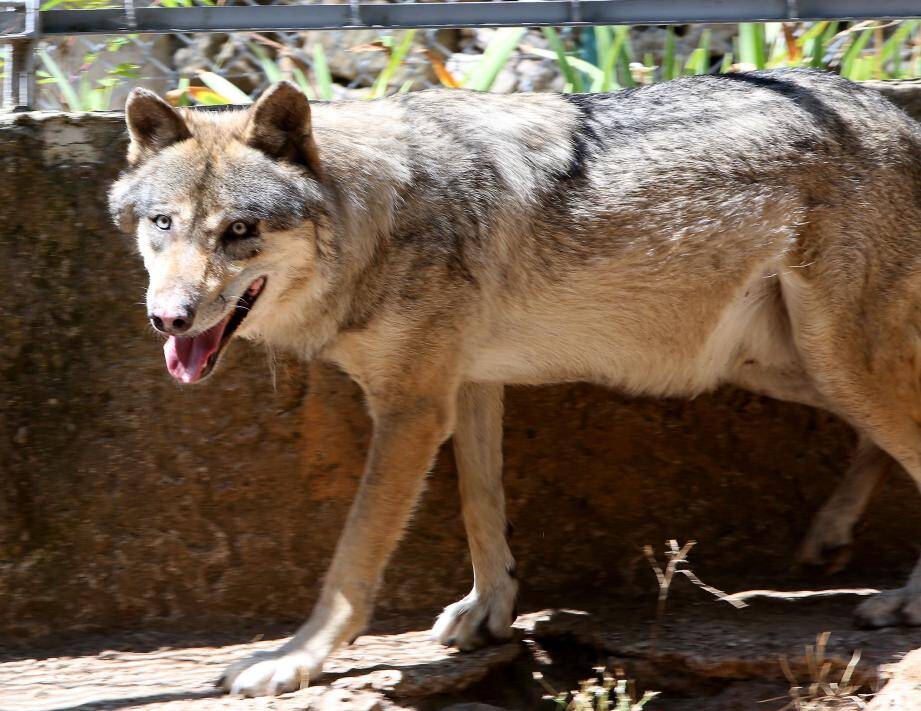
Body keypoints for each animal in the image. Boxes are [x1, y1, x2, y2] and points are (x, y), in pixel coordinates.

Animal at [111, 69, 920, 700]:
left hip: (835, 362)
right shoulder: (467, 387)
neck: (378, 213)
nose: (167, 318)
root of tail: (899, 114)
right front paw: (488, 613)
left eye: (240, 231)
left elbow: (352, 559)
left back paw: (903, 596)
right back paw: (830, 537)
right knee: (880, 443)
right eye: (163, 224)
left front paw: (293, 660)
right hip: (787, 366)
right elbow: (482, 507)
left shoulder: (411, 408)